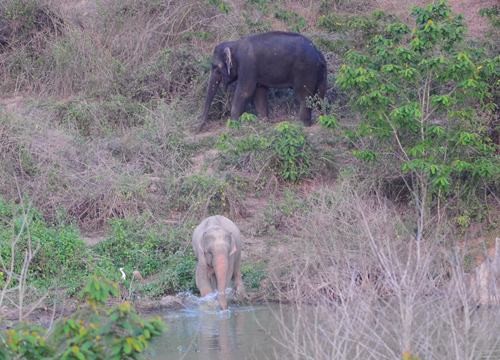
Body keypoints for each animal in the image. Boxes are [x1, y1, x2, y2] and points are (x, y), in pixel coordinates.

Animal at [195, 31, 328, 133]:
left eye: (215, 67)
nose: (197, 131)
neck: (234, 44)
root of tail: (318, 53)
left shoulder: (247, 65)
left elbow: (245, 92)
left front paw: (233, 126)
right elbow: (259, 93)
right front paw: (263, 123)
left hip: (306, 69)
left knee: (304, 95)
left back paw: (302, 124)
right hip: (320, 73)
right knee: (320, 94)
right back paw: (321, 118)